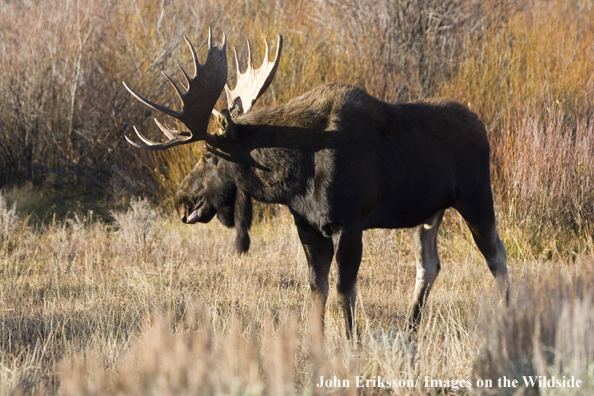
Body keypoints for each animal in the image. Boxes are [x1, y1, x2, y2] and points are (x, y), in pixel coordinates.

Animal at [123, 29, 508, 336]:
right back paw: (411, 329)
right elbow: (317, 288)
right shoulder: (308, 225)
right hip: (429, 213)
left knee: (496, 256)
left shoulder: (349, 223)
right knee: (428, 265)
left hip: (477, 199)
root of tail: (483, 127)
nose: (182, 199)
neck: (294, 177)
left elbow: (343, 289)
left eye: (209, 155)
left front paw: (351, 342)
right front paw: (317, 342)